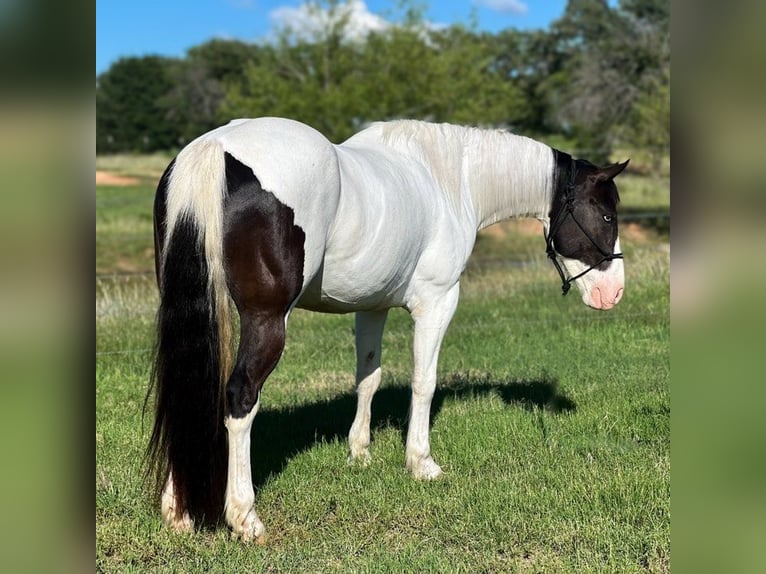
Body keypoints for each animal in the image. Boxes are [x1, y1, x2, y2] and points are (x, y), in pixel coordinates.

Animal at [146, 116, 632, 540]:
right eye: (607, 216)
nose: (613, 293)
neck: (449, 179)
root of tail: (215, 149)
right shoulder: (437, 302)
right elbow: (424, 381)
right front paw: (421, 463)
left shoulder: (370, 307)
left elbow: (368, 377)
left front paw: (360, 453)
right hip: (266, 321)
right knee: (240, 397)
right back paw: (245, 517)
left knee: (185, 385)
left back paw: (178, 512)